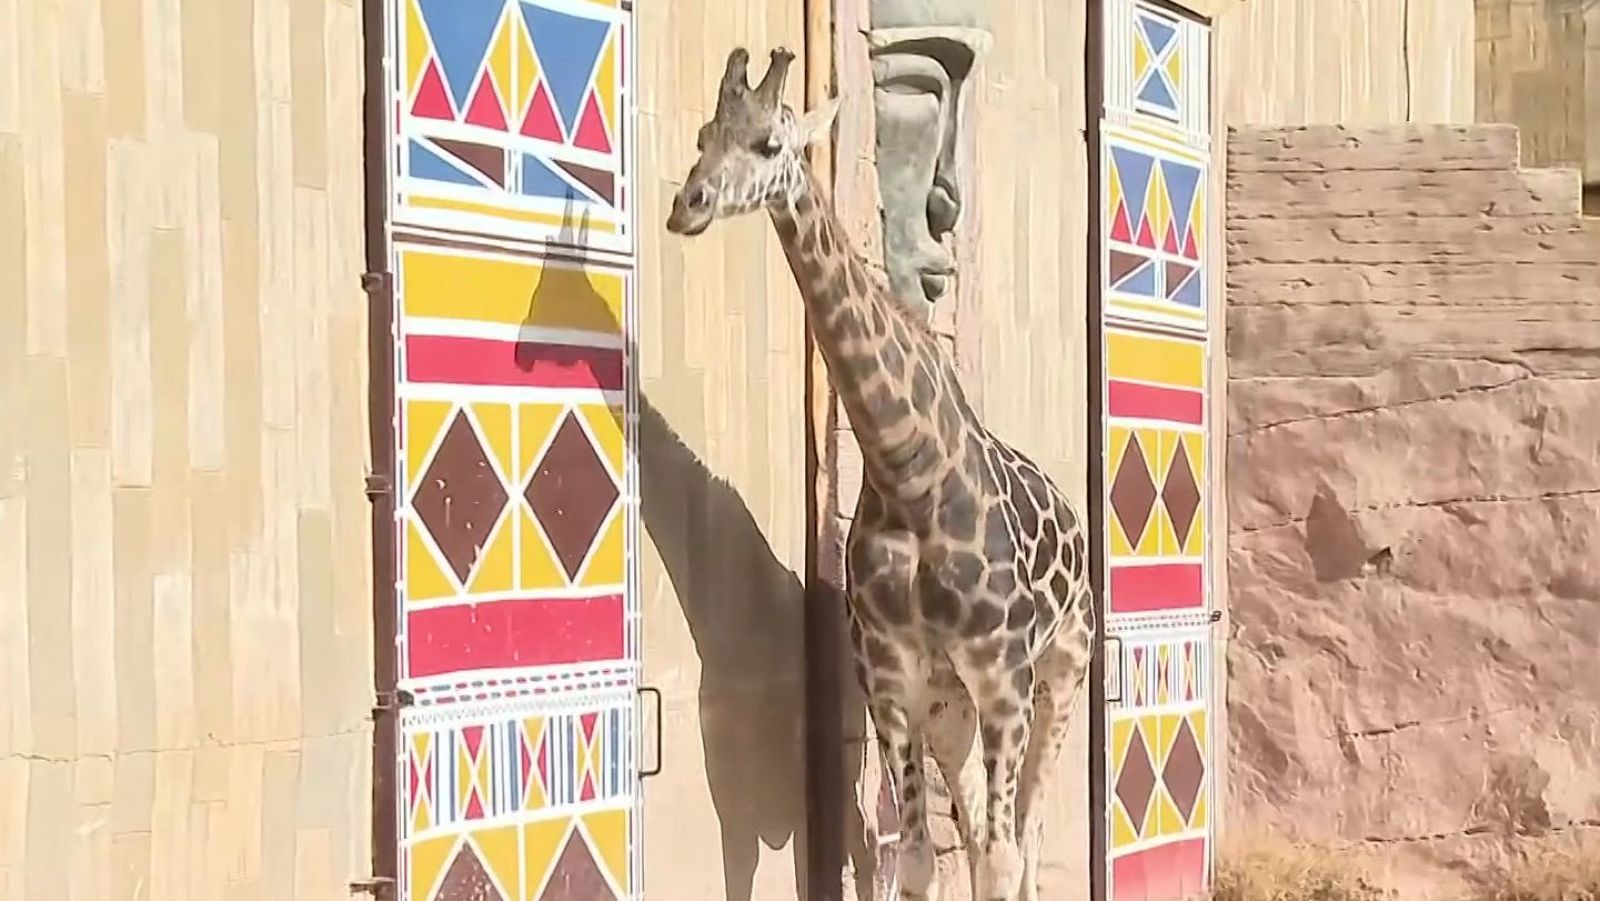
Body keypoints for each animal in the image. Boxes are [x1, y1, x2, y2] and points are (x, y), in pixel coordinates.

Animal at [665, 47, 1096, 901]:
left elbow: (1000, 854)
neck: (909, 471)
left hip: (1062, 671)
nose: (688, 205)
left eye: (768, 142)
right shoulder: (895, 677)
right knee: (974, 827)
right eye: (703, 135)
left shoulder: (1004, 673)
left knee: (1025, 833)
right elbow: (923, 856)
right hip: (950, 705)